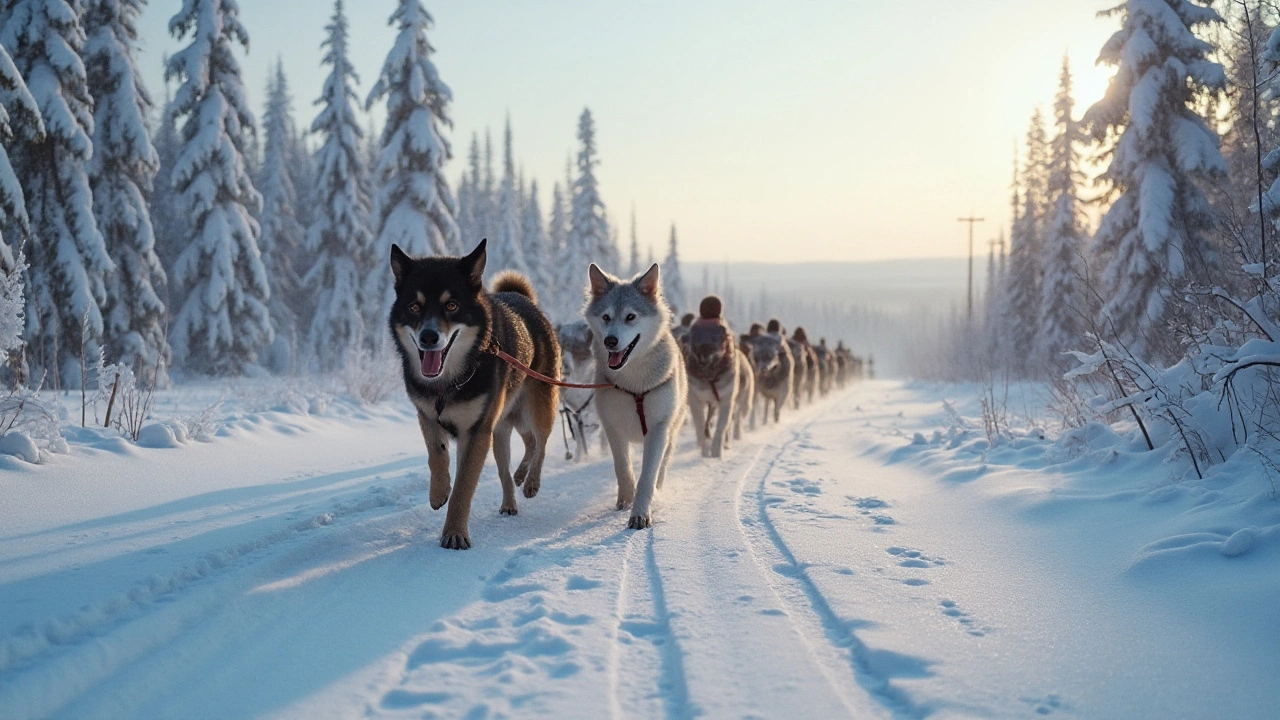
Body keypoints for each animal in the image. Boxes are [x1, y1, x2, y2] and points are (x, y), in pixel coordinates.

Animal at [389, 238, 560, 545]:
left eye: (452, 305)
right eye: (415, 306)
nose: (428, 337)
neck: (447, 384)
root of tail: (526, 301)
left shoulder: (476, 432)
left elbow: (464, 486)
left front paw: (454, 534)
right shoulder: (427, 415)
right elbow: (436, 454)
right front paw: (438, 491)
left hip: (537, 407)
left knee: (541, 441)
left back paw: (531, 481)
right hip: (502, 430)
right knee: (514, 461)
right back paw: (513, 491)